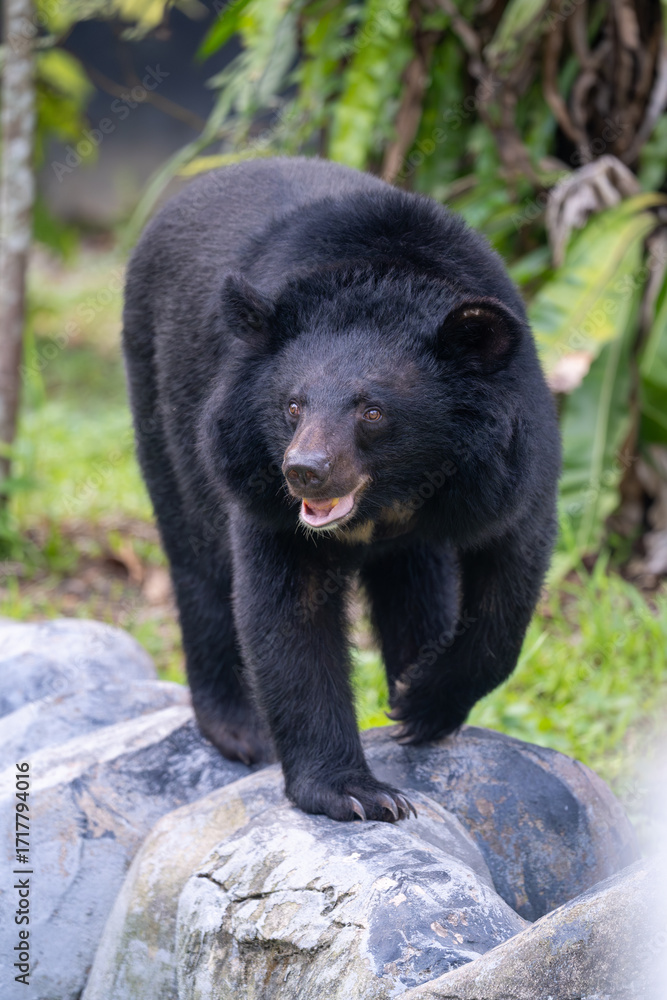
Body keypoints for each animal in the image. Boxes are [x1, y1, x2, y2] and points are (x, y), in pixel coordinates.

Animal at [123, 156, 560, 823]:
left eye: (372, 412)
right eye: (292, 405)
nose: (305, 470)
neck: (395, 494)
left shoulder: (508, 461)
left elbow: (508, 580)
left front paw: (421, 703)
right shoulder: (256, 481)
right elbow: (288, 613)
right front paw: (356, 793)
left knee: (415, 574)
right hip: (158, 392)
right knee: (196, 557)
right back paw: (237, 728)